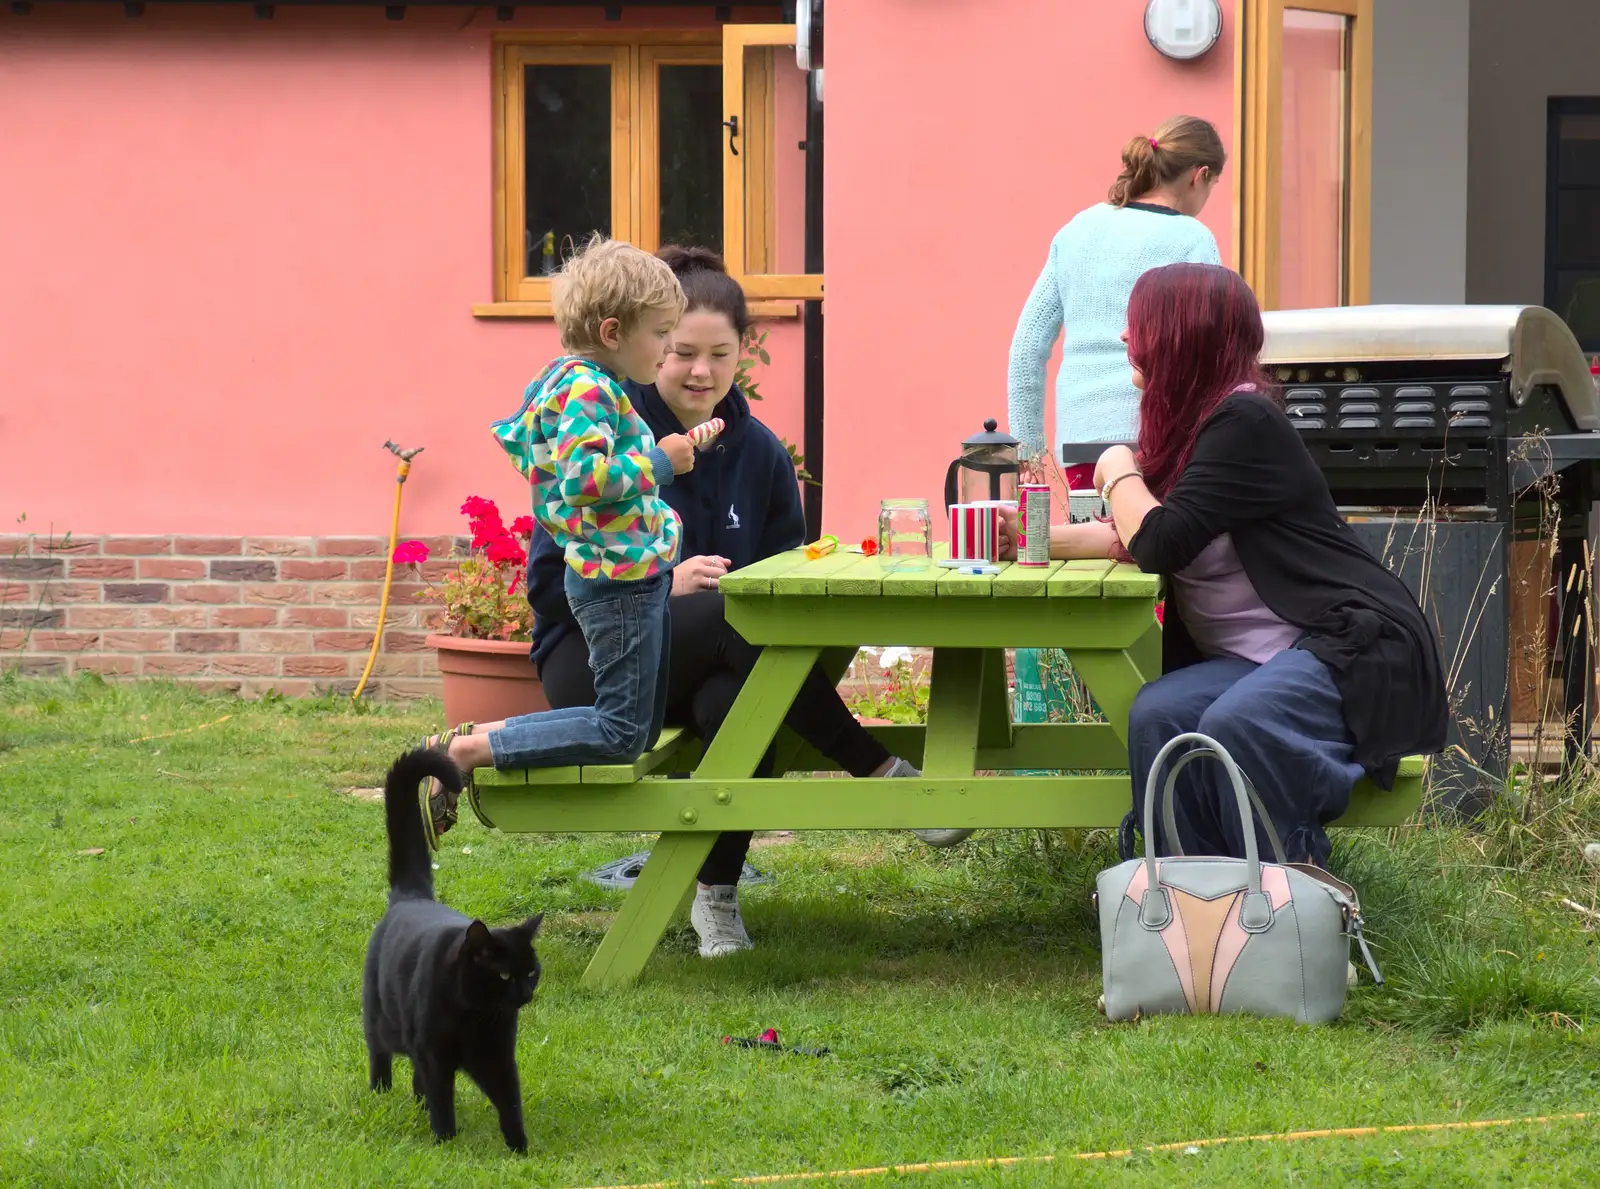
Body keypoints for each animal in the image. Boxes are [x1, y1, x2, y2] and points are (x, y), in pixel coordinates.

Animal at [364, 752, 544, 1152]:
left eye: (531, 973)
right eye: (504, 974)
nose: (524, 994)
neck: (477, 1015)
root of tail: (411, 896)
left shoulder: (497, 1055)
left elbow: (510, 1099)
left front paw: (519, 1147)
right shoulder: (434, 1053)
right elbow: (442, 1098)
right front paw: (445, 1140)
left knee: (417, 1081)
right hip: (381, 1019)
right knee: (379, 1054)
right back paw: (380, 1094)